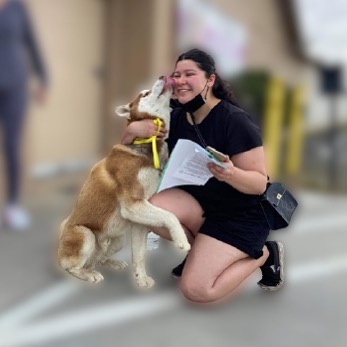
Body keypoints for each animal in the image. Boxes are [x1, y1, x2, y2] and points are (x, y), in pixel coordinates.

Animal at [58, 77, 192, 290]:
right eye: (145, 93)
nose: (163, 76)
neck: (145, 141)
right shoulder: (133, 205)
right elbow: (170, 215)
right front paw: (181, 241)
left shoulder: (140, 217)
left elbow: (139, 255)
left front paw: (140, 278)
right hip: (85, 235)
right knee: (72, 267)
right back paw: (88, 274)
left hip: (118, 239)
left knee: (100, 258)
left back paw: (111, 263)